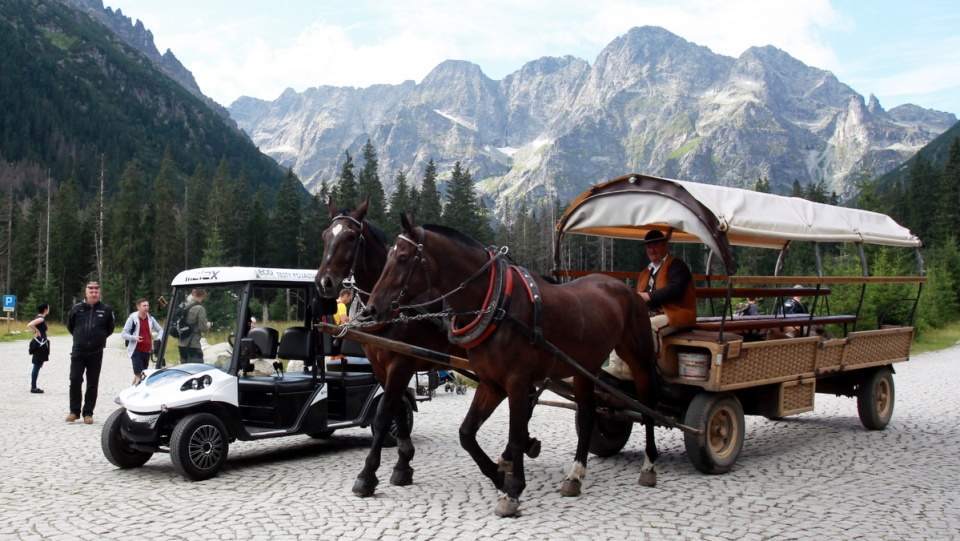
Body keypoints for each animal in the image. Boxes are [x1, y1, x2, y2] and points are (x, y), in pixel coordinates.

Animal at [316, 199, 540, 498]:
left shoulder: (401, 363)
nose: (324, 282)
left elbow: (383, 415)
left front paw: (367, 475)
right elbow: (398, 412)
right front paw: (403, 464)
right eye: (325, 236)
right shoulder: (380, 366)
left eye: (351, 237)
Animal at [360, 213, 660, 516]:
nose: (371, 309)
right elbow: (466, 433)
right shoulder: (491, 383)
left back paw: (649, 467)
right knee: (587, 414)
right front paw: (499, 476)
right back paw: (574, 476)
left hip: (638, 357)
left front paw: (513, 490)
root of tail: (623, 287)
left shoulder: (515, 381)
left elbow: (515, 435)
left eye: (403, 258)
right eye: (388, 256)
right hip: (585, 367)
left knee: (648, 408)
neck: (496, 303)